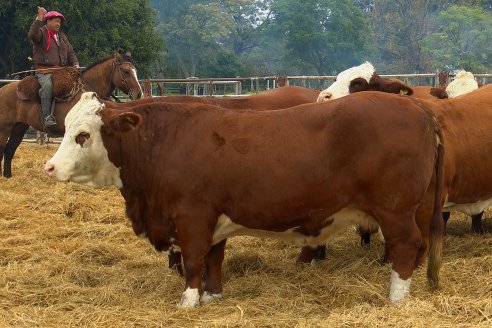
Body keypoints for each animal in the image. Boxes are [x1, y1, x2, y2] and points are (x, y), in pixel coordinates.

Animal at [0, 52, 142, 178]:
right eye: (125, 71)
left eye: (135, 70)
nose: (138, 94)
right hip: (5, 128)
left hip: (19, 127)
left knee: (9, 150)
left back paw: (8, 176)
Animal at [47, 92, 446, 308]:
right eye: (65, 129)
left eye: (83, 135)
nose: (50, 167)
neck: (163, 142)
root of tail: (420, 110)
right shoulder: (213, 220)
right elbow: (213, 259)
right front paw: (212, 297)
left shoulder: (192, 217)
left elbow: (192, 261)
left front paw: (188, 302)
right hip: (419, 208)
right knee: (421, 245)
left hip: (395, 210)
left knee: (406, 245)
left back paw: (396, 296)